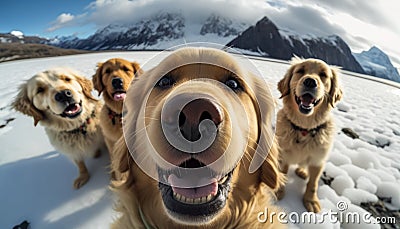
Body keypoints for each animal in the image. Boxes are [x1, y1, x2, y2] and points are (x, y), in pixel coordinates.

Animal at [276, 57, 344, 213]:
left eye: (323, 74)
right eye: (300, 71)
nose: (310, 82)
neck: (304, 128)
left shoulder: (318, 160)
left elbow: (313, 184)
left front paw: (310, 201)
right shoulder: (283, 155)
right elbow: (282, 173)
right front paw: (279, 191)